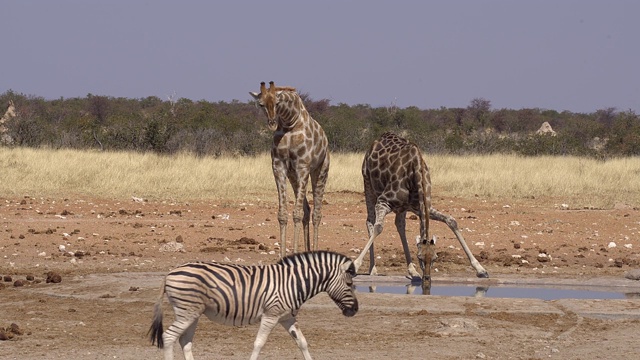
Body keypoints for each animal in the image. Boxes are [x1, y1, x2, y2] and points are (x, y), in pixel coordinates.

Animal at [150, 250, 360, 360]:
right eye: (350, 284)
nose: (355, 310)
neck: (295, 282)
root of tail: (169, 273)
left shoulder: (287, 317)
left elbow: (302, 342)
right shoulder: (271, 315)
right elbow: (259, 343)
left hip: (192, 313)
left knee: (184, 341)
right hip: (187, 312)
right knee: (168, 337)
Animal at [250, 81, 330, 258]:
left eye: (277, 103)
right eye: (261, 104)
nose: (272, 123)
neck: (289, 122)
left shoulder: (303, 166)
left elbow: (297, 214)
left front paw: (293, 253)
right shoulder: (278, 166)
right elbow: (283, 214)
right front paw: (282, 256)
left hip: (320, 171)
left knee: (316, 213)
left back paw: (314, 251)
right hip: (293, 176)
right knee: (307, 210)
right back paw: (307, 252)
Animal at [352, 132, 488, 286]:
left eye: (435, 257)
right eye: (419, 257)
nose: (427, 279)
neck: (416, 173)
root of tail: (376, 141)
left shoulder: (422, 207)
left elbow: (451, 220)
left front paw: (481, 269)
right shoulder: (383, 201)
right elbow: (378, 227)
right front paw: (355, 265)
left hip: (402, 207)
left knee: (400, 225)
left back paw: (412, 271)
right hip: (368, 184)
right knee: (370, 220)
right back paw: (373, 269)